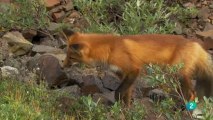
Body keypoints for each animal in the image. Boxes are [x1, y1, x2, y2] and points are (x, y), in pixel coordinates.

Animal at [62, 31, 212, 107]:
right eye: (67, 55)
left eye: (71, 57)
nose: (63, 66)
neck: (110, 48)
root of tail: (197, 44)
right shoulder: (123, 74)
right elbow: (126, 95)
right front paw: (125, 110)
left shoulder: (133, 70)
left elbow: (118, 92)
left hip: (176, 74)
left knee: (192, 94)